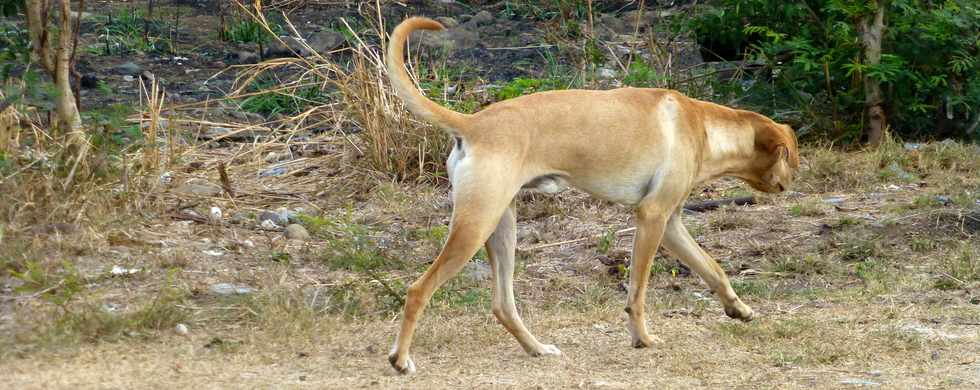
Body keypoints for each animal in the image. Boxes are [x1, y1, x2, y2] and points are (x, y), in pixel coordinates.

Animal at [380, 16, 796, 374]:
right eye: (789, 156)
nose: (793, 182)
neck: (704, 126)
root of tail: (471, 123)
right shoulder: (652, 217)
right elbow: (637, 293)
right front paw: (642, 339)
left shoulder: (672, 224)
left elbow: (714, 269)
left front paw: (739, 309)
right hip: (474, 226)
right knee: (418, 290)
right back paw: (401, 359)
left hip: (502, 228)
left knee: (503, 305)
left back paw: (537, 348)